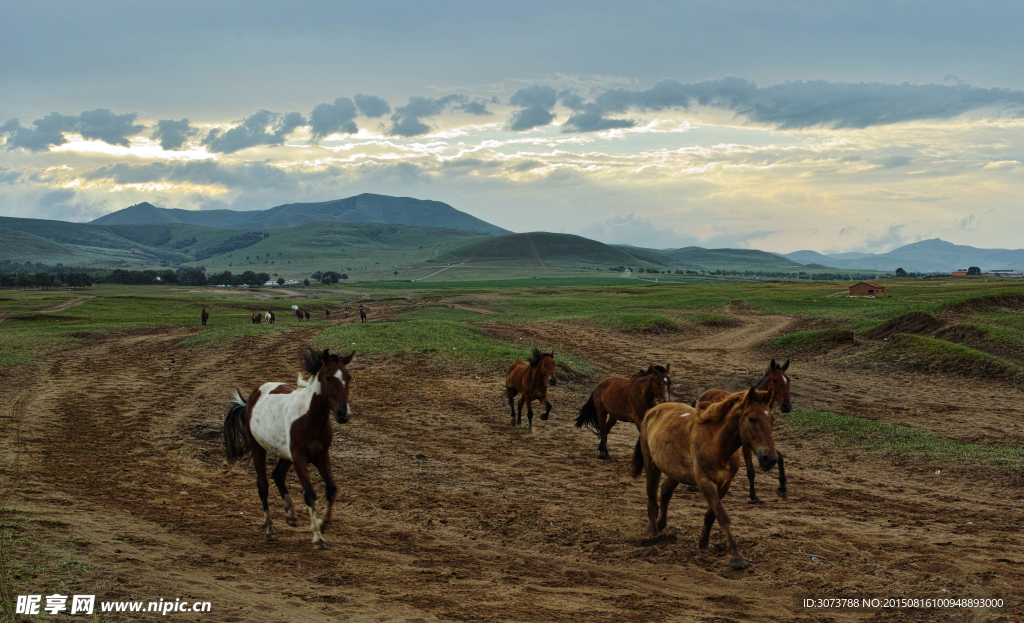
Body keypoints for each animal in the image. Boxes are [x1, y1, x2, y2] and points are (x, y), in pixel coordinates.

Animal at [222, 348, 354, 549]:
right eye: (328, 378)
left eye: (348, 377)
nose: (343, 414)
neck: (310, 419)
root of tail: (252, 396)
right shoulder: (300, 458)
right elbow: (310, 495)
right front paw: (317, 538)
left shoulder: (322, 456)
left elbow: (331, 490)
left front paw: (322, 525)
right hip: (258, 448)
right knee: (263, 485)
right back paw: (270, 530)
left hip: (285, 454)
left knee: (278, 475)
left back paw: (290, 515)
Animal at [626, 387, 778, 573]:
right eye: (751, 419)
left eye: (771, 419)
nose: (769, 458)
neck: (717, 444)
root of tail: (651, 411)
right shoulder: (705, 483)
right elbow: (722, 515)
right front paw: (736, 558)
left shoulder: (724, 484)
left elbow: (711, 514)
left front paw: (703, 542)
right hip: (651, 465)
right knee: (652, 498)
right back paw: (654, 533)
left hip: (675, 470)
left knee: (665, 491)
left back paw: (661, 524)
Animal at [696, 360, 790, 502]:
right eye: (774, 380)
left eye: (788, 381)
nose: (787, 406)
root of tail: (705, 393)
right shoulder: (747, 445)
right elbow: (750, 471)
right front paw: (753, 494)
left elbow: (779, 456)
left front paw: (782, 486)